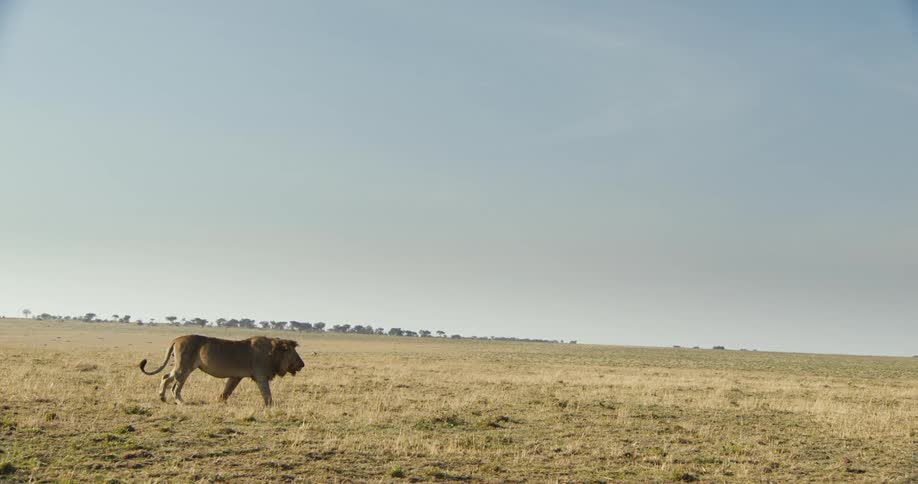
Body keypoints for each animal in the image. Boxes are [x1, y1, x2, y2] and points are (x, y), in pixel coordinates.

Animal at [139, 334, 305, 406]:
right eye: (293, 353)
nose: (302, 364)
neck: (273, 352)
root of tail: (177, 338)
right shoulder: (260, 375)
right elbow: (266, 392)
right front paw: (271, 405)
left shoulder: (236, 376)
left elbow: (227, 390)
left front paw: (219, 402)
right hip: (185, 367)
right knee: (175, 385)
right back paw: (180, 401)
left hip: (181, 366)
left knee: (166, 377)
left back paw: (162, 397)